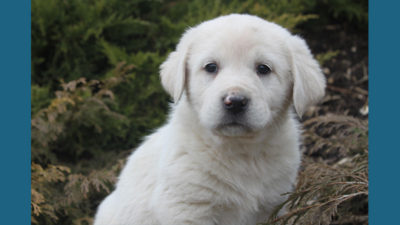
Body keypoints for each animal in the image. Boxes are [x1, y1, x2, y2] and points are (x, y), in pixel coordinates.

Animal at [94, 14, 324, 225]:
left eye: (263, 69)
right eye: (211, 67)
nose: (235, 101)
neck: (240, 152)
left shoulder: (271, 205)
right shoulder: (186, 208)